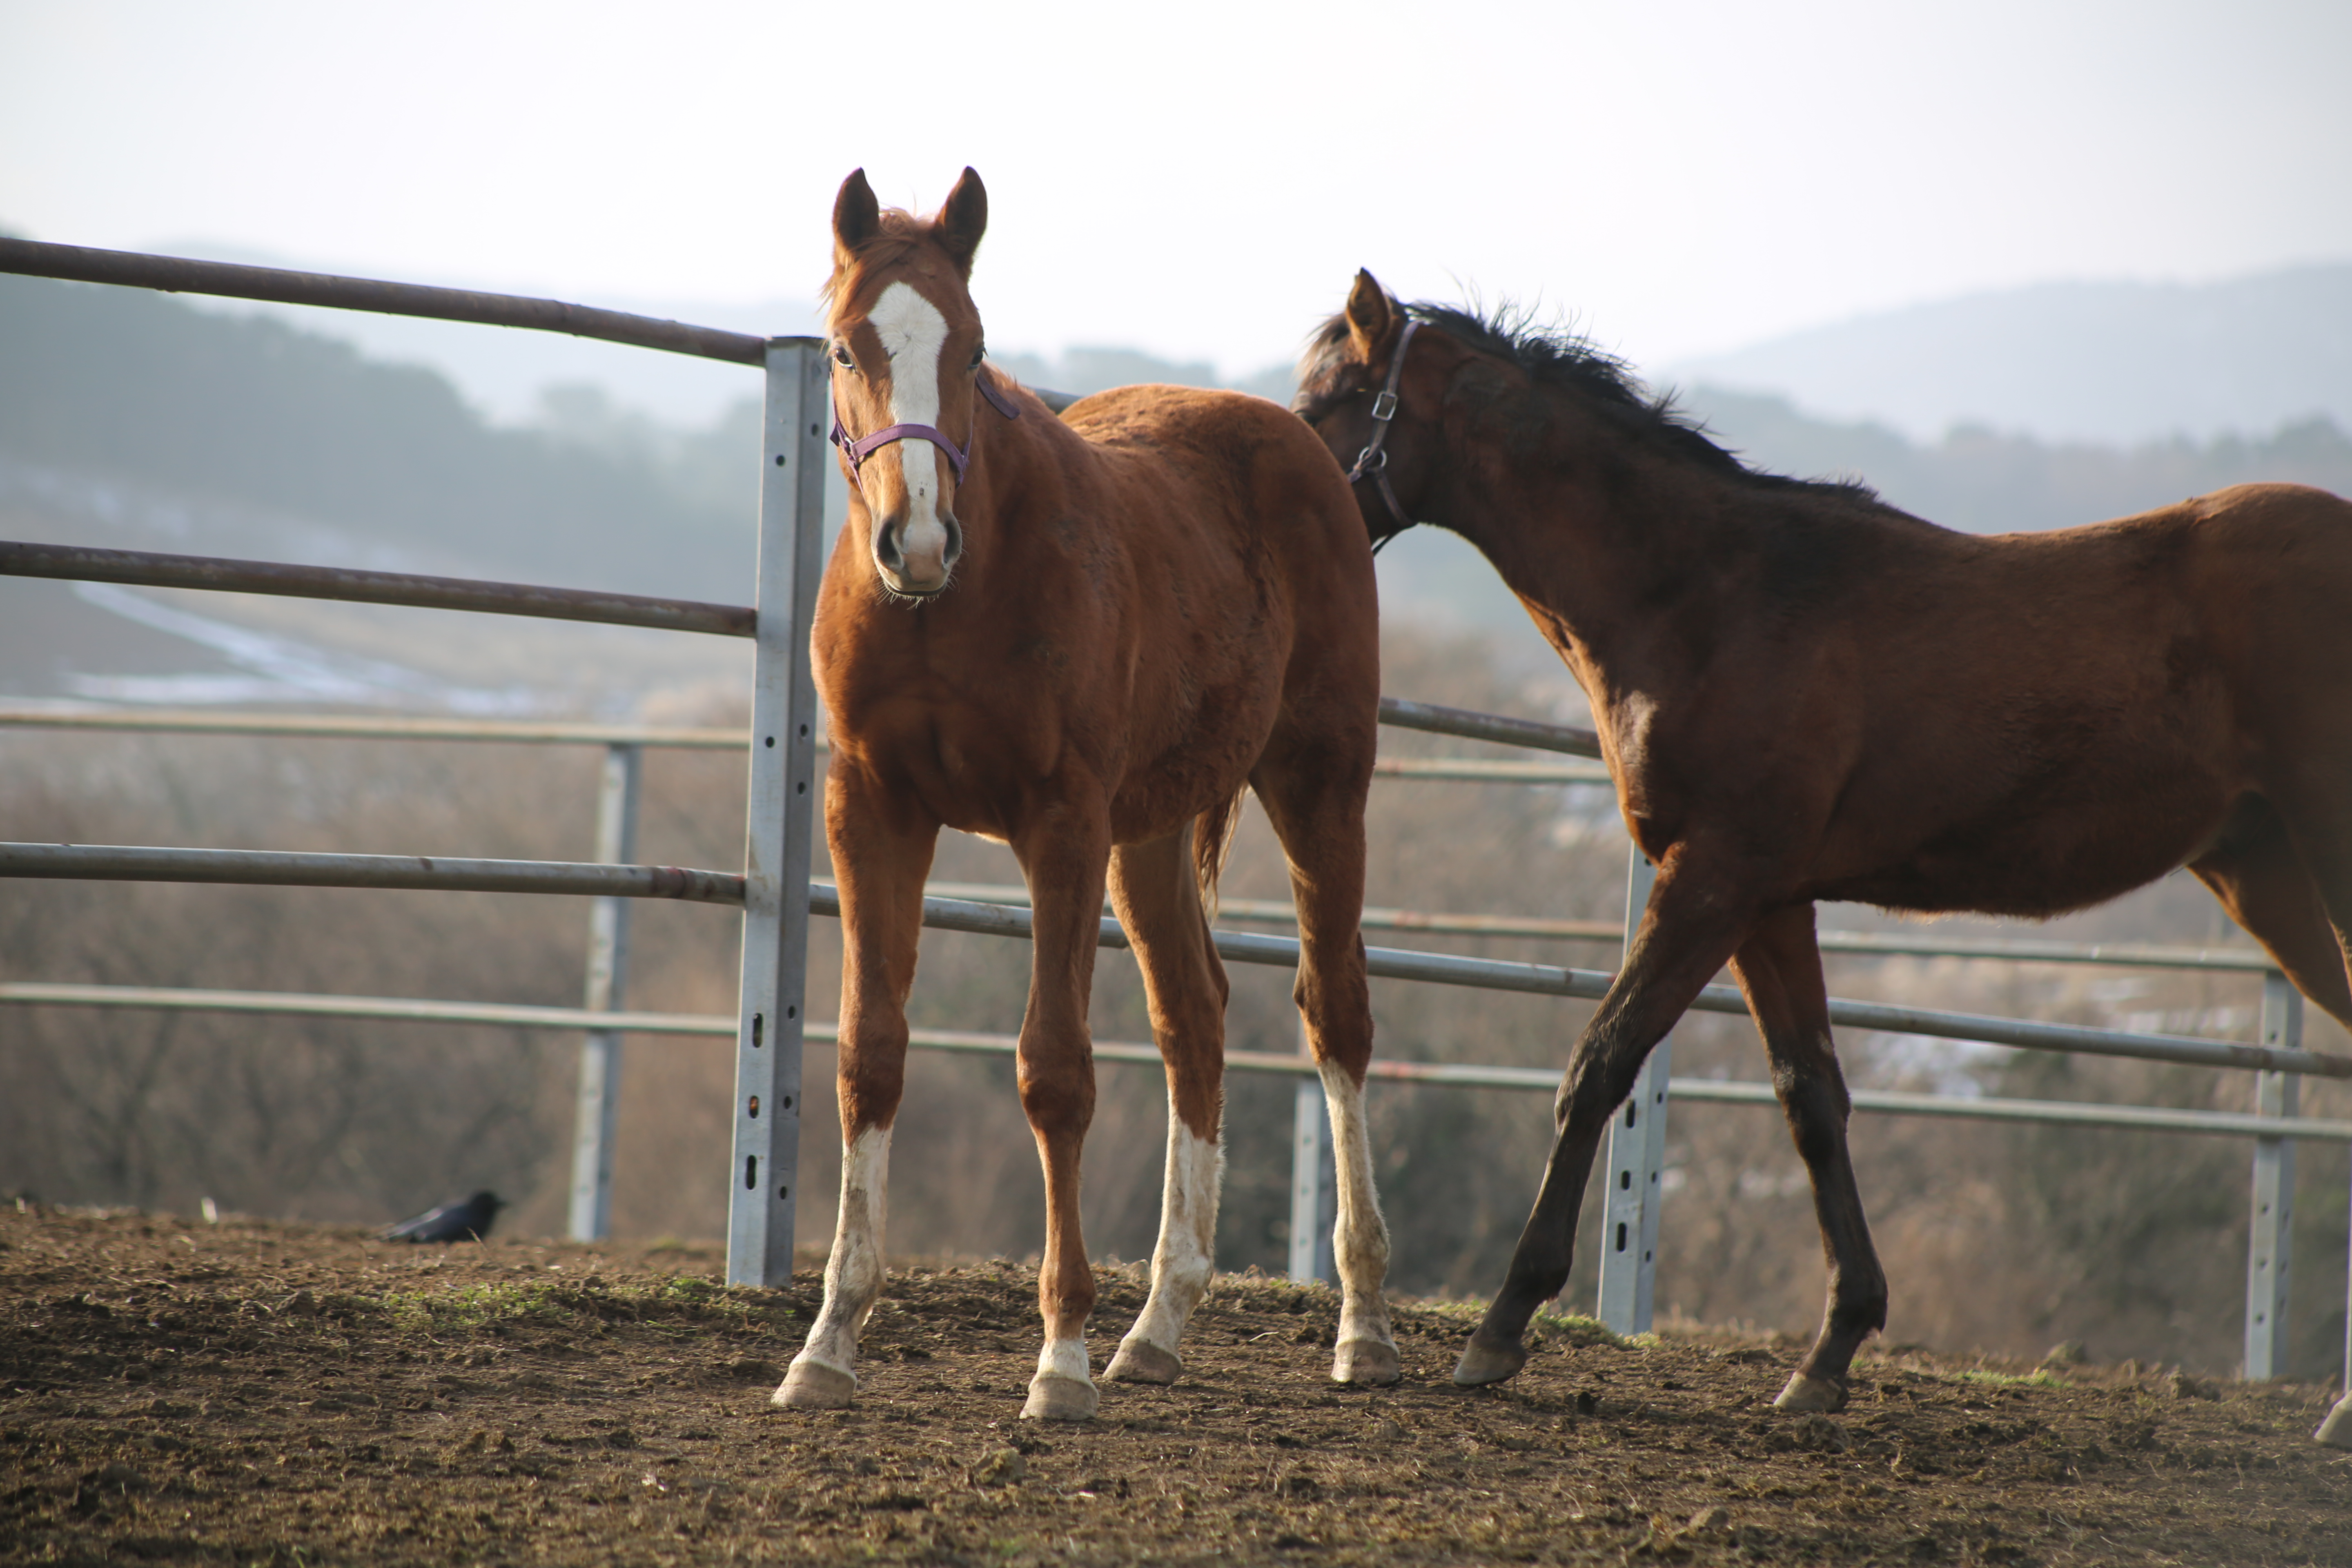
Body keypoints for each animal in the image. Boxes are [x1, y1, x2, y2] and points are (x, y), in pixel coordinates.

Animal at [771, 172, 1392, 1420]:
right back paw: (1158, 1324)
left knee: (1335, 1012)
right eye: (849, 345)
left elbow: (1053, 1070)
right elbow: (869, 1052)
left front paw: (1056, 1358)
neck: (952, 605)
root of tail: (1293, 443)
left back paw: (1359, 1322)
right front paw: (827, 1341)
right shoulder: (872, 811)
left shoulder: (1058, 820)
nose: (916, 541)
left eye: (972, 347)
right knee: (1194, 1015)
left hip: (1316, 781)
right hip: (1148, 829)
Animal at [1298, 267, 2352, 1410]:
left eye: (1328, 402)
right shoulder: (1768, 900)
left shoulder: (1711, 879)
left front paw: (1499, 1326)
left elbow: (1599, 1063)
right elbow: (1810, 1098)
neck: (1705, 598)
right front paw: (1832, 1348)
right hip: (2267, 877)